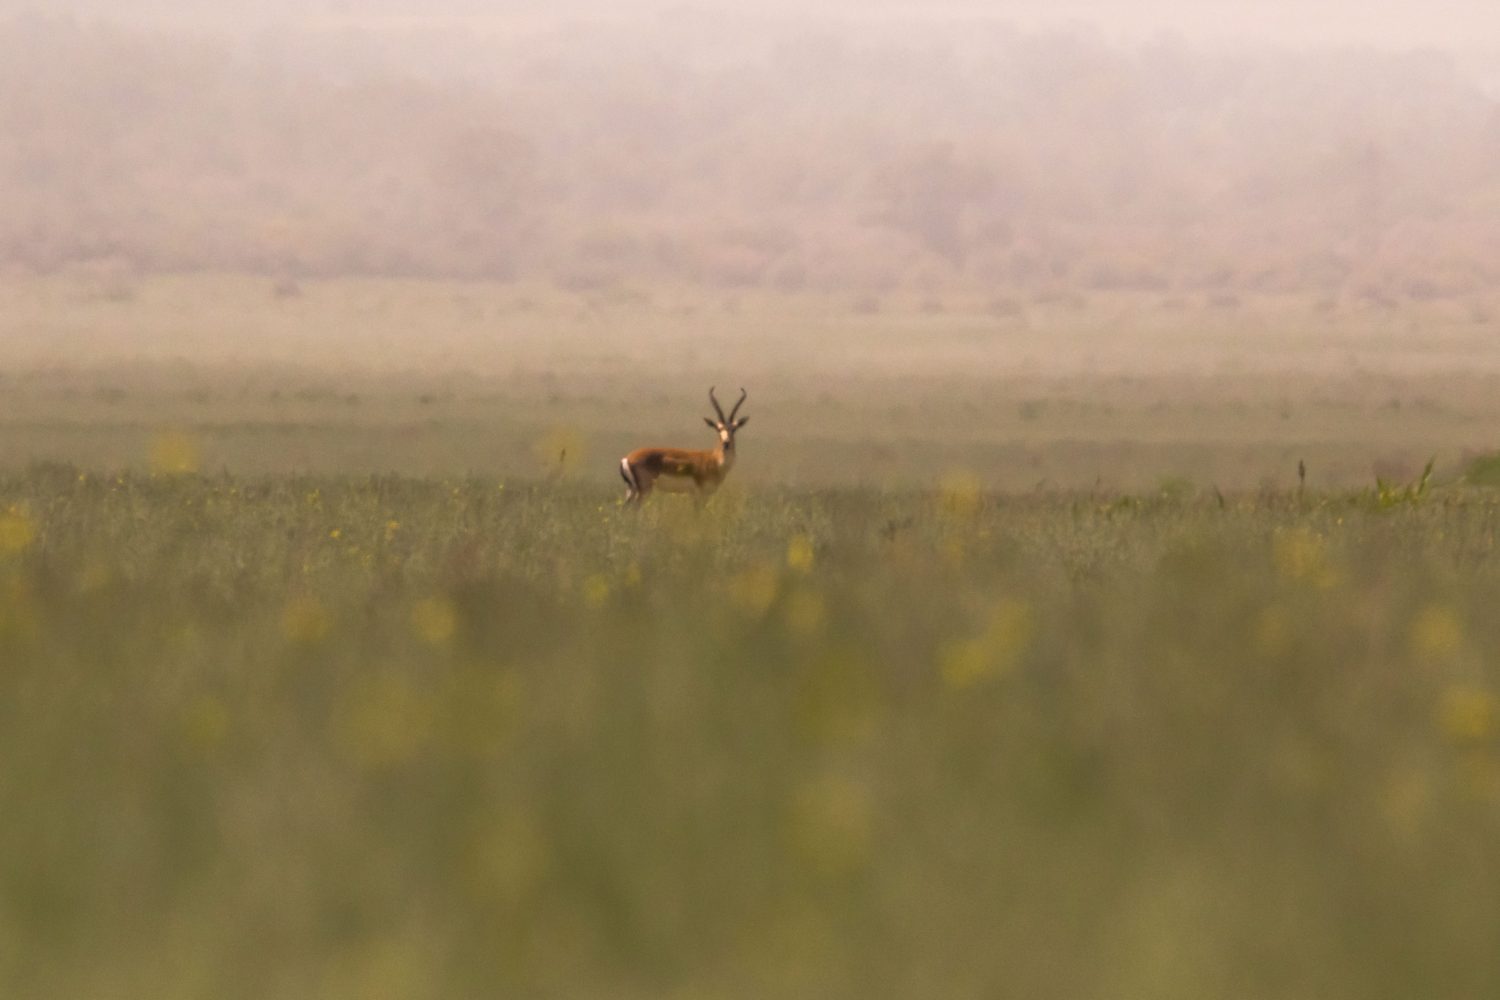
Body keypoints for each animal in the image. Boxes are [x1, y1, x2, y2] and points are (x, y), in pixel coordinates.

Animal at [620, 387, 748, 504]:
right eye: (718, 428)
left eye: (734, 429)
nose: (726, 443)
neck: (714, 460)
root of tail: (627, 458)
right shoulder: (699, 494)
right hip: (644, 491)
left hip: (631, 491)